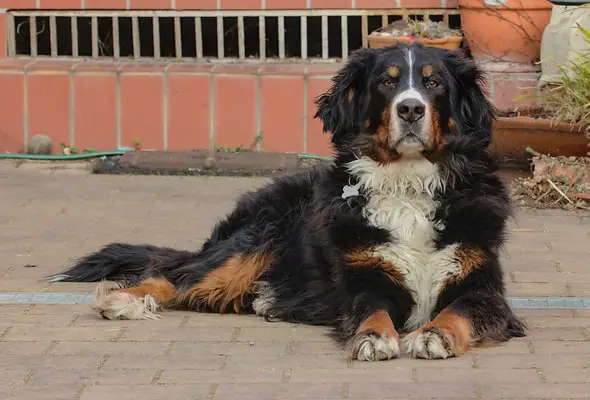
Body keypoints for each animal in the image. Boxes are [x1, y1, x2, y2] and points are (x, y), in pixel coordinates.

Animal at [47, 44, 528, 362]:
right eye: (387, 83)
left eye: (433, 83)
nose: (410, 109)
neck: (408, 186)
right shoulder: (365, 281)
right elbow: (371, 311)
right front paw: (374, 338)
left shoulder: (482, 288)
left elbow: (459, 312)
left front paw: (435, 334)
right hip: (256, 240)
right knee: (176, 277)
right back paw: (123, 300)